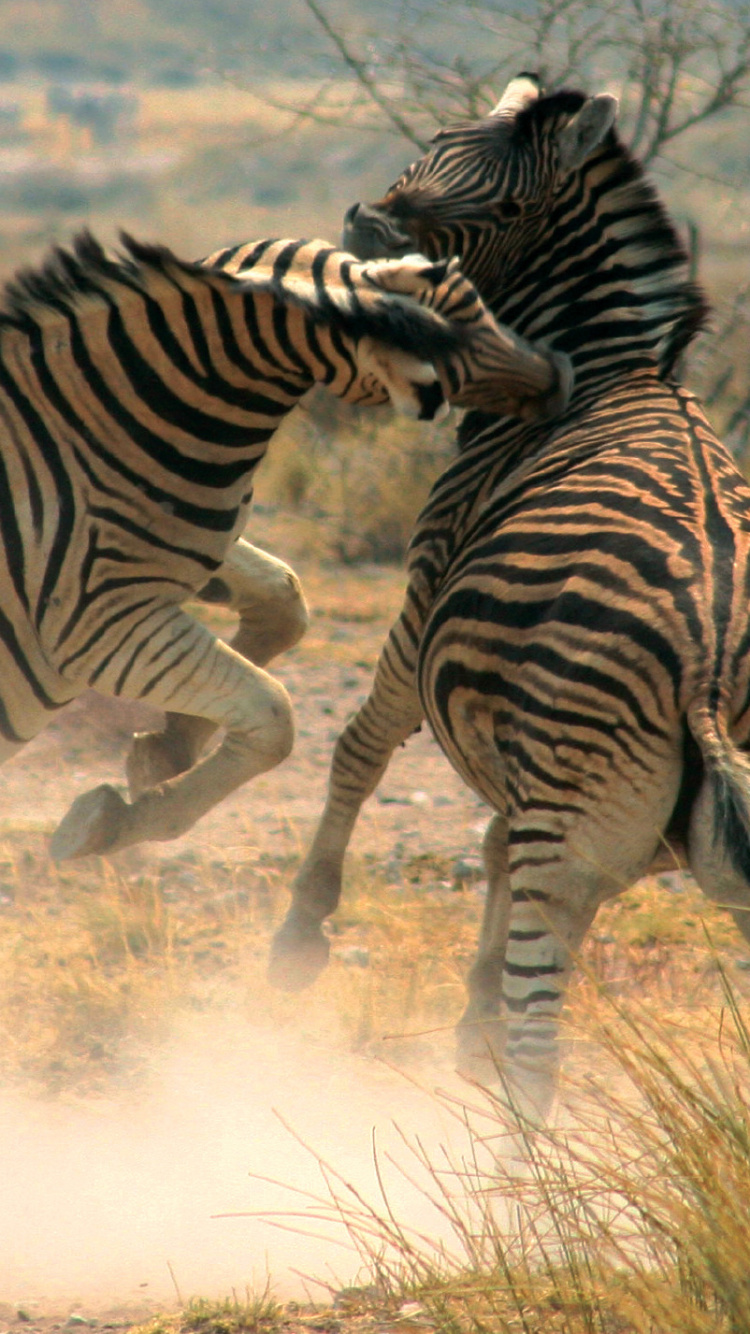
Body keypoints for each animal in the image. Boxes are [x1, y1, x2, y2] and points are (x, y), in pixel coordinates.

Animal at [0, 229, 570, 862]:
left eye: (479, 306)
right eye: (445, 337)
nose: (561, 377)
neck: (106, 422)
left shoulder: (189, 557)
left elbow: (284, 602)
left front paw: (167, 748)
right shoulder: (92, 620)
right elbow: (274, 716)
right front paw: (106, 822)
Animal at [270, 74, 750, 1120]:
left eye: (503, 210)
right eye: (429, 147)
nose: (365, 230)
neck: (610, 372)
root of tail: (705, 659)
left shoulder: (422, 590)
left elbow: (361, 745)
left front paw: (302, 929)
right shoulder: (583, 806)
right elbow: (489, 844)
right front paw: (471, 1014)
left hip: (567, 810)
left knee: (542, 1056)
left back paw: (518, 1166)